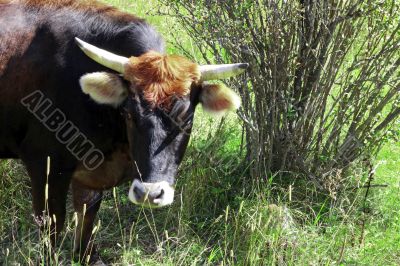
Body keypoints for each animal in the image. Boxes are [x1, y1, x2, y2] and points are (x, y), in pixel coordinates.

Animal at [0, 0, 248, 264]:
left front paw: (85, 255)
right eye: (128, 113)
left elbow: (87, 217)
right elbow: (52, 225)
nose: (149, 193)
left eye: (186, 118)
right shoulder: (44, 163)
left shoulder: (89, 174)